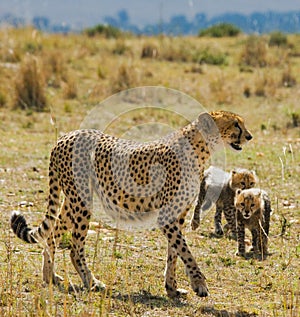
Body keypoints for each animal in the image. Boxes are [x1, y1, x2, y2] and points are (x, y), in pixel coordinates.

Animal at [10, 110, 252, 298]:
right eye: (236, 124)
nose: (249, 136)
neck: (199, 148)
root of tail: (65, 136)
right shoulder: (167, 216)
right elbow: (185, 251)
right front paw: (199, 284)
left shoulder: (179, 214)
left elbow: (174, 253)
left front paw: (172, 288)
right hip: (81, 201)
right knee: (75, 248)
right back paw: (91, 282)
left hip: (72, 201)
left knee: (52, 234)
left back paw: (50, 276)